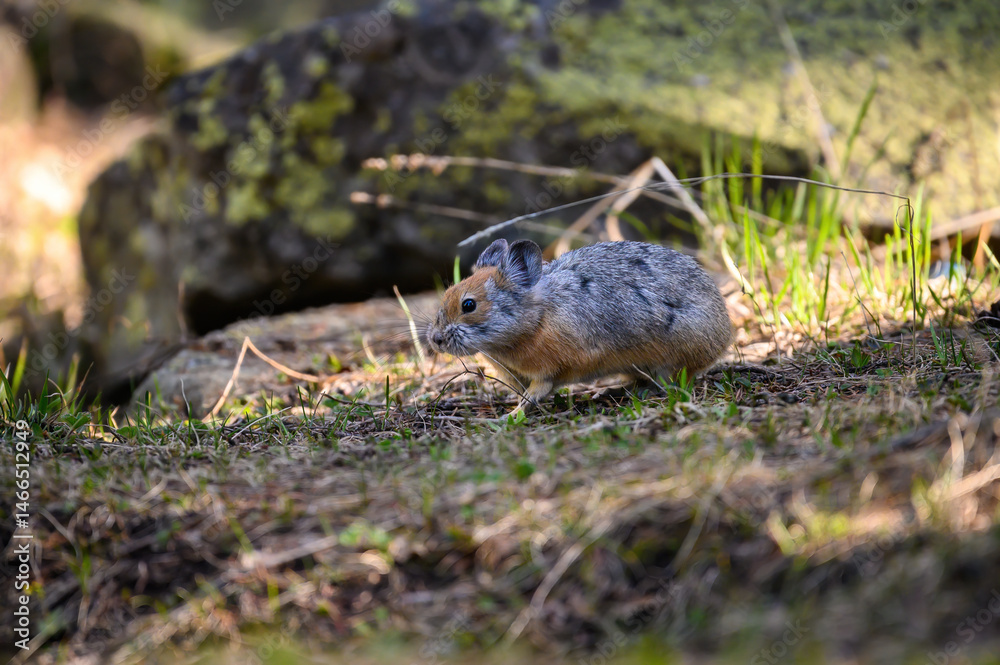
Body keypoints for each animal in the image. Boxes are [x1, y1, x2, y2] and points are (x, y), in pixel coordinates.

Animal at [426, 239, 733, 415]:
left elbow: (537, 391)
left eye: (469, 305)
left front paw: (512, 416)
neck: (536, 319)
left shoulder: (553, 368)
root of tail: (724, 333)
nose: (436, 339)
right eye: (447, 292)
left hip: (669, 359)